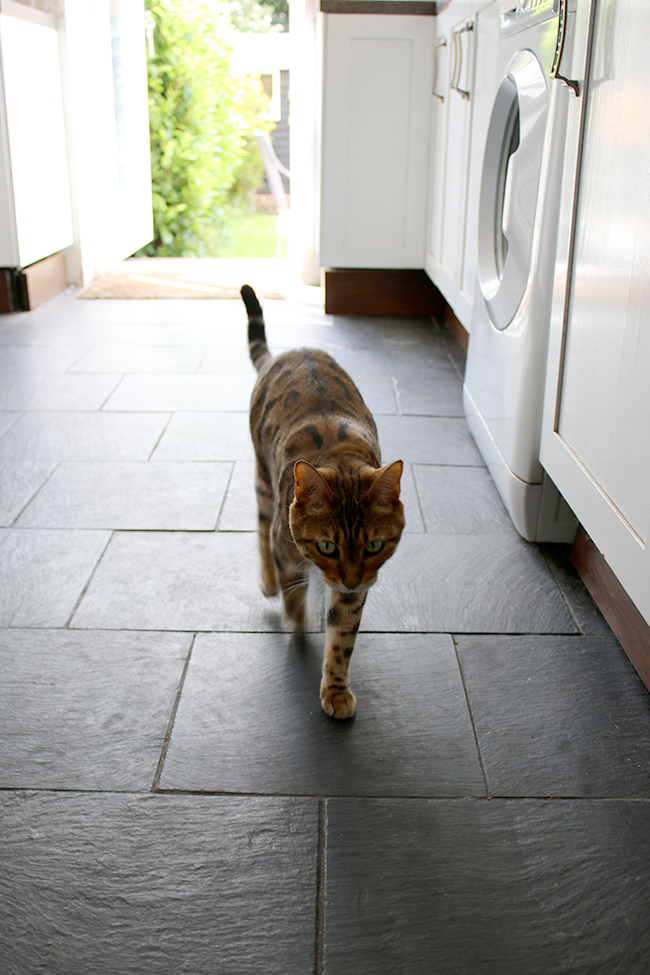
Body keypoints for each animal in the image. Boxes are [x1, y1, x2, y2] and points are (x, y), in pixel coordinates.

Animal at [242, 286, 404, 720]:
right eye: (327, 545)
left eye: (374, 545)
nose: (350, 580)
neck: (341, 458)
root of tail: (285, 353)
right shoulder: (287, 544)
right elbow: (293, 594)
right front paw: (296, 622)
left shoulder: (355, 590)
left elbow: (342, 636)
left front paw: (336, 690)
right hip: (263, 481)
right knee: (260, 529)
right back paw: (269, 583)